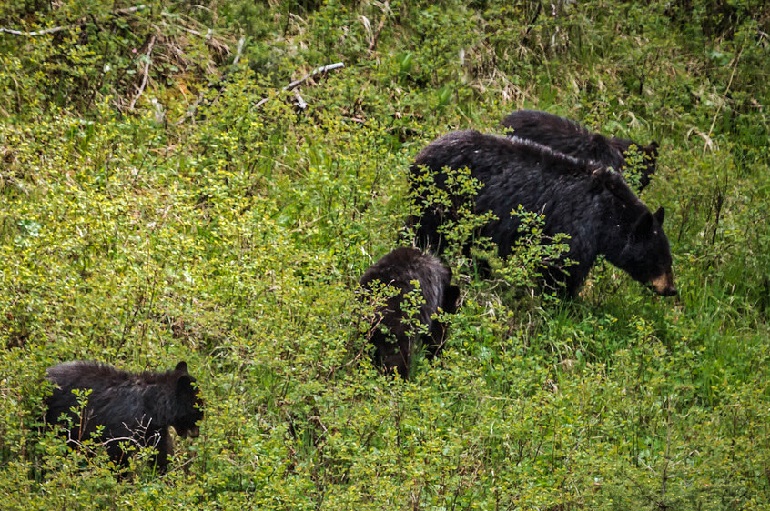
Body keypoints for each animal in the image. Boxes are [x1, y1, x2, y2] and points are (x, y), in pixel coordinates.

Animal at [45, 362, 204, 474]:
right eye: (198, 413)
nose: (196, 434)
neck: (153, 407)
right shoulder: (124, 424)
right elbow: (118, 454)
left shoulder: (153, 428)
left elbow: (161, 450)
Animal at [408, 132, 672, 298]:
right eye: (658, 258)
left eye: (669, 259)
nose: (671, 289)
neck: (608, 214)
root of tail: (422, 153)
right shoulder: (574, 226)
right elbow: (561, 268)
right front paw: (567, 303)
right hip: (441, 197)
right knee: (429, 232)